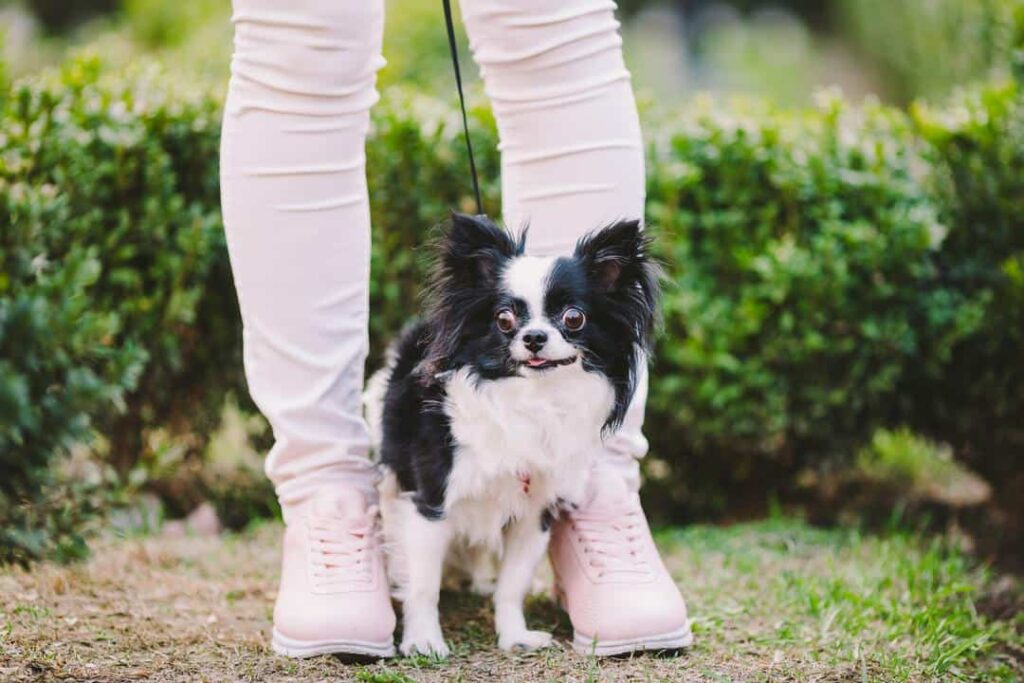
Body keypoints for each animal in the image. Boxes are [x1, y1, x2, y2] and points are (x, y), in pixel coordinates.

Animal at [364, 214, 659, 655]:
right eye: (504, 320)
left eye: (574, 318)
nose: (533, 337)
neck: (532, 400)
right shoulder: (431, 500)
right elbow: (423, 584)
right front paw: (423, 640)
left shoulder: (536, 513)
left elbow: (512, 585)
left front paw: (514, 634)